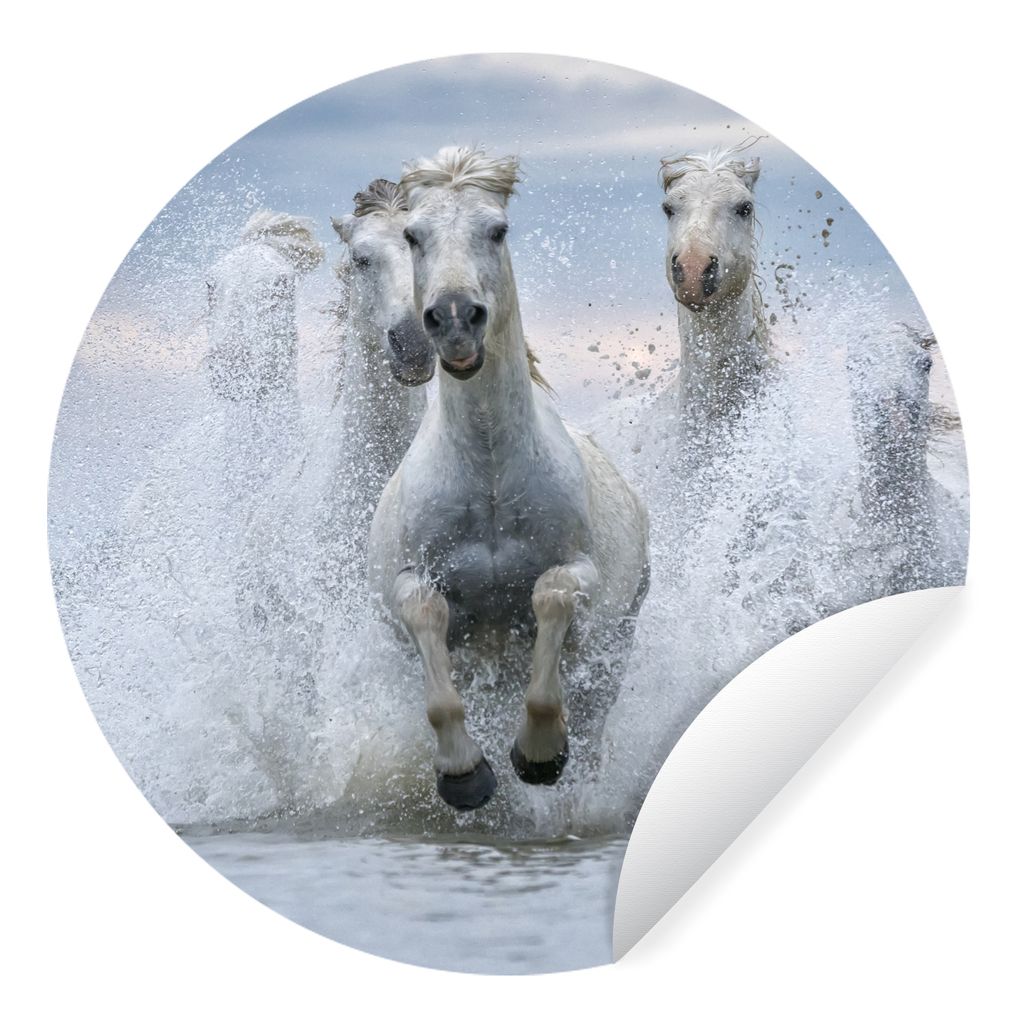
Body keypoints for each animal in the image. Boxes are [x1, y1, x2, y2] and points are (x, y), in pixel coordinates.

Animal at [367, 146, 650, 811]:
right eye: (413, 235)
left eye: (497, 229)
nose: (453, 320)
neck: (491, 474)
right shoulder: (410, 581)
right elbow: (427, 618)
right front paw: (465, 774)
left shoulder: (580, 571)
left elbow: (551, 596)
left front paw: (539, 754)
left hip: (615, 645)